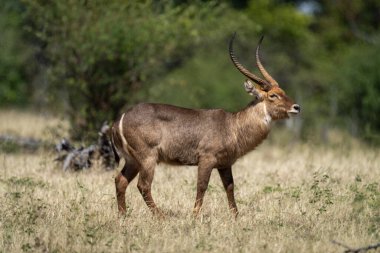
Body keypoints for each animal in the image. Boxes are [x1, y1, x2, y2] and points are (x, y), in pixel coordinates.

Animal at [110, 33, 300, 216]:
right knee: (143, 185)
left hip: (133, 160)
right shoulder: (206, 159)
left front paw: (235, 217)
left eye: (283, 91)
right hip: (148, 157)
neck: (232, 126)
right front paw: (194, 217)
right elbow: (202, 186)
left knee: (120, 181)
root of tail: (120, 119)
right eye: (273, 95)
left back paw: (123, 216)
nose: (296, 107)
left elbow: (230, 188)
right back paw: (160, 217)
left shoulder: (225, 164)